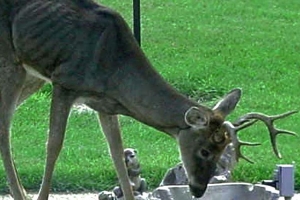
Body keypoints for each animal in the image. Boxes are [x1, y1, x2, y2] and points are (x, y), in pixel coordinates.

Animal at [0, 0, 296, 200]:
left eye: (225, 148)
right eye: (204, 150)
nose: (199, 189)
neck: (113, 70)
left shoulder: (104, 105)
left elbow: (117, 155)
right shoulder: (65, 82)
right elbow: (54, 146)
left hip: (31, 75)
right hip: (12, 62)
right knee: (5, 128)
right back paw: (20, 193)